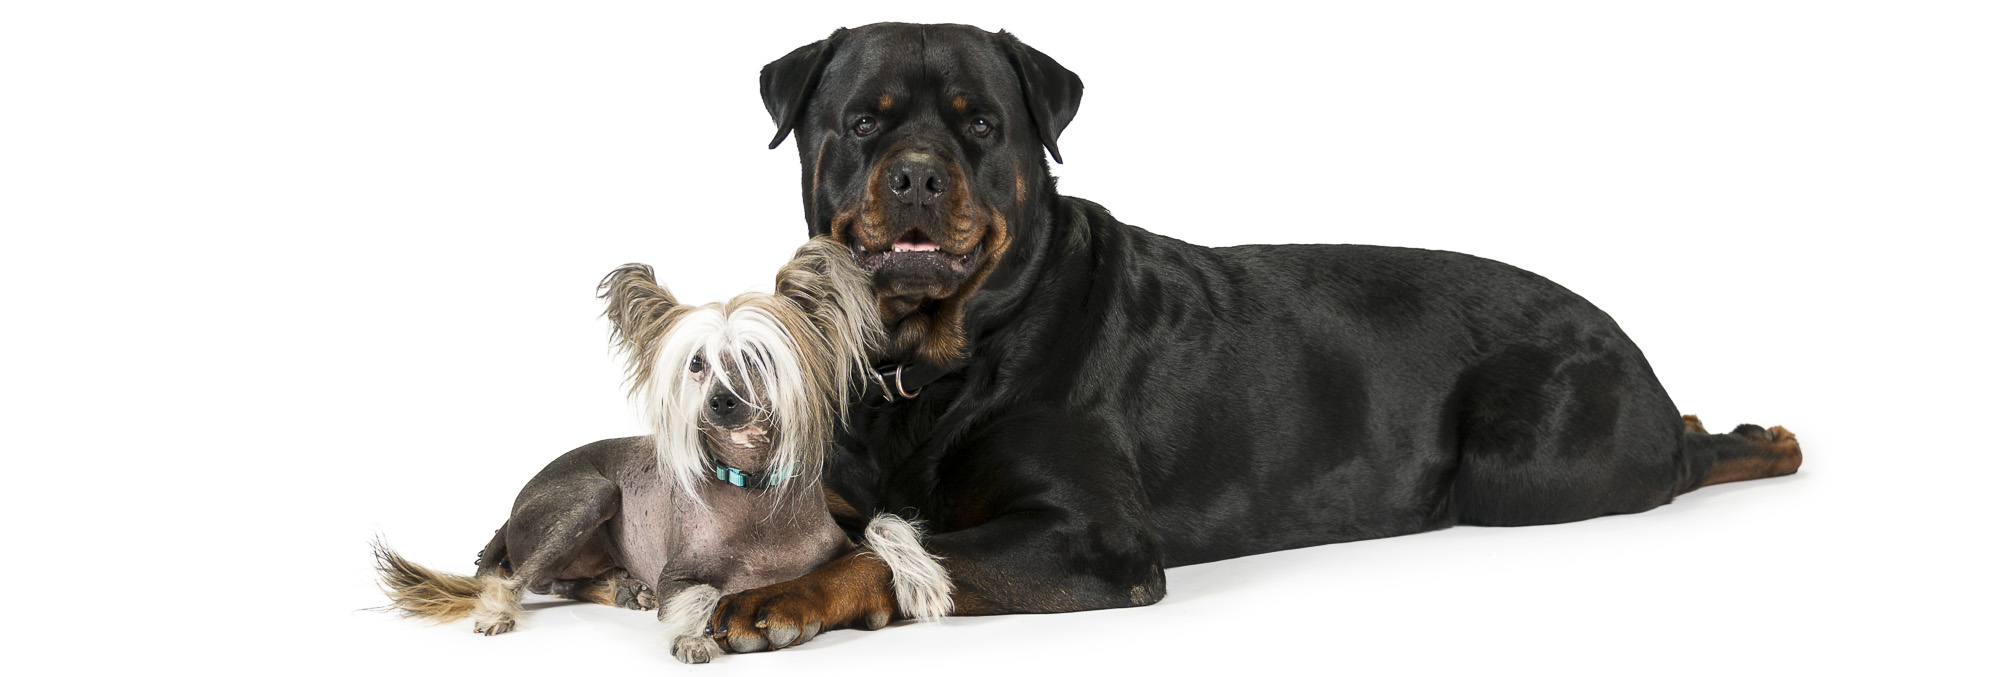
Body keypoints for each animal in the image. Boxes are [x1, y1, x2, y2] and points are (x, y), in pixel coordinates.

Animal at [376, 238, 952, 660]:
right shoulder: (677, 574)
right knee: (522, 578)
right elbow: (701, 593)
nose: (721, 401)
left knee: (559, 582)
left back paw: (621, 587)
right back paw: (506, 610)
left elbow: (881, 535)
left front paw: (921, 581)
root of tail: (512, 509)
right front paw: (692, 634)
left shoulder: (844, 540)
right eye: (696, 363)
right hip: (591, 495)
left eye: (758, 358)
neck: (753, 489)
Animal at [704, 23, 1816, 652]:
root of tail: (1632, 343)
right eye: (863, 122)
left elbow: (897, 552)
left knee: (1670, 461)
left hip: (1527, 464)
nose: (918, 175)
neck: (934, 362)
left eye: (981, 126)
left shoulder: (1092, 536)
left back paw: (1752, 442)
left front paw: (783, 598)